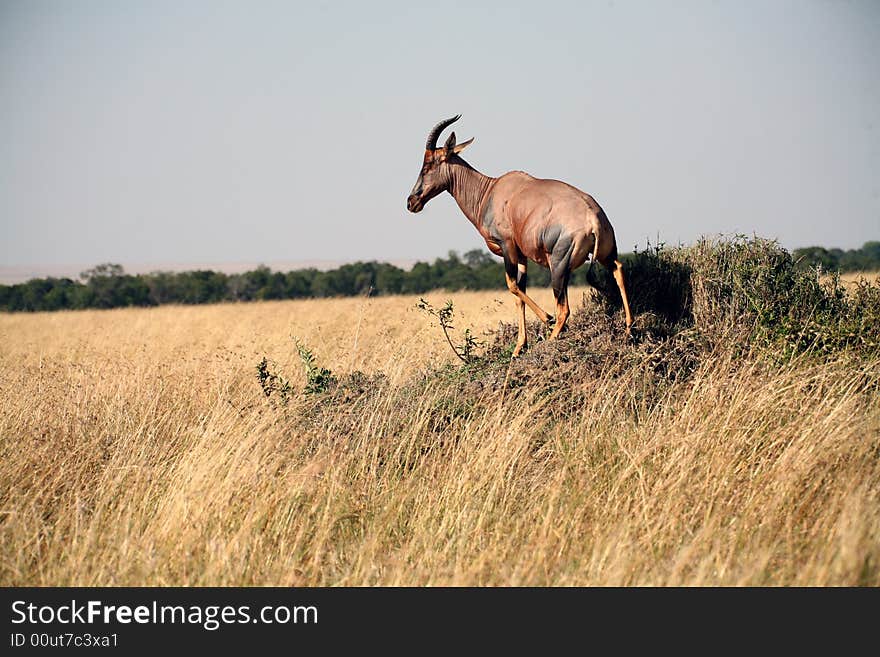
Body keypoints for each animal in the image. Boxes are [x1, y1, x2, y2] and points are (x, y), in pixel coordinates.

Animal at [406, 115, 632, 356]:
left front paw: (545, 320)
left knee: (563, 309)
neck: (490, 191)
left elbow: (512, 286)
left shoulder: (507, 247)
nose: (411, 202)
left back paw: (551, 337)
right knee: (618, 270)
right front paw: (518, 347)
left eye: (428, 164)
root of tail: (593, 220)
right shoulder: (522, 255)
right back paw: (629, 329)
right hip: (605, 254)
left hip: (558, 264)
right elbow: (519, 293)